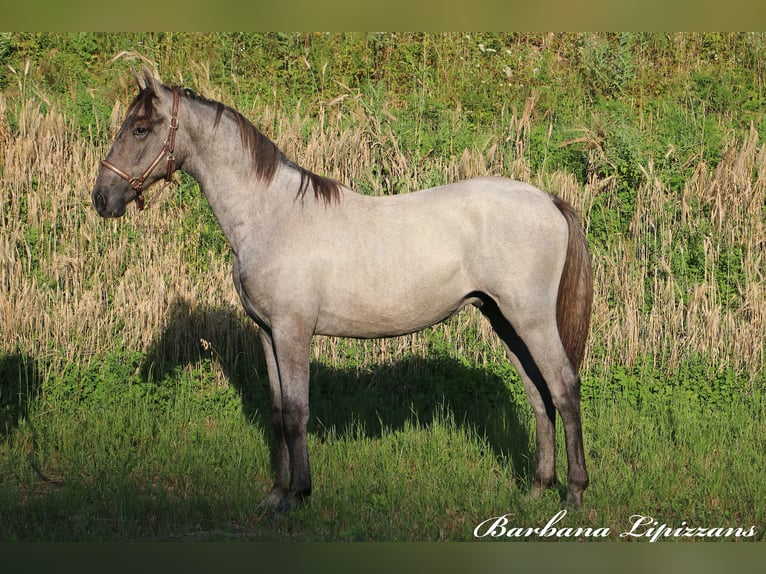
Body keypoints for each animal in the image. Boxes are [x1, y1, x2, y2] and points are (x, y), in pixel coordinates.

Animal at [91, 67, 592, 512]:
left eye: (140, 128)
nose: (101, 198)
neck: (270, 215)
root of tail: (548, 200)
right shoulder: (268, 333)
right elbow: (278, 413)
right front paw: (275, 494)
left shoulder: (293, 332)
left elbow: (297, 413)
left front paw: (297, 495)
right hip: (504, 319)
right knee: (538, 393)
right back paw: (536, 488)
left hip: (530, 320)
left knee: (564, 389)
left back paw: (574, 492)